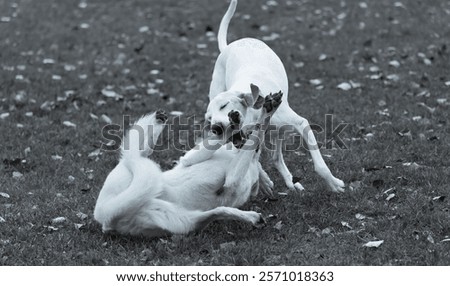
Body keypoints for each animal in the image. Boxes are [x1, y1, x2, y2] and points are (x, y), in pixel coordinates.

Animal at [93, 90, 282, 237]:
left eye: (223, 106)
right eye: (211, 116)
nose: (216, 127)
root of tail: (106, 217)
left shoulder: (232, 181)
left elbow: (256, 136)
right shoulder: (189, 159)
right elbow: (246, 136)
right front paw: (262, 112)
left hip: (181, 220)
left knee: (216, 212)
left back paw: (252, 217)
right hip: (129, 173)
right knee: (137, 153)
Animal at [206, 0, 346, 193]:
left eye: (224, 105)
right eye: (209, 119)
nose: (216, 128)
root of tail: (230, 46)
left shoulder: (300, 123)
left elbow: (320, 166)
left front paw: (334, 183)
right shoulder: (240, 141)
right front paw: (264, 181)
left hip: (280, 129)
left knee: (275, 156)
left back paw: (289, 181)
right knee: (271, 158)